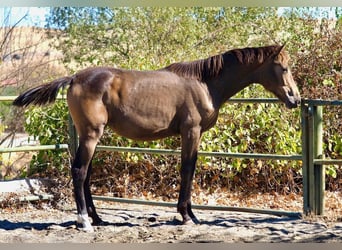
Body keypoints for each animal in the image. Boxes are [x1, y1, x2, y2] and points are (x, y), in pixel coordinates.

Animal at [12, 44, 302, 230]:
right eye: (284, 67)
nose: (295, 99)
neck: (205, 83)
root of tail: (74, 77)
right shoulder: (191, 132)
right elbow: (187, 170)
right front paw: (186, 216)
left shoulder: (194, 134)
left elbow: (189, 170)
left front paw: (190, 214)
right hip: (91, 135)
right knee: (79, 171)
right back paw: (84, 221)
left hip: (89, 136)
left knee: (86, 173)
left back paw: (97, 218)